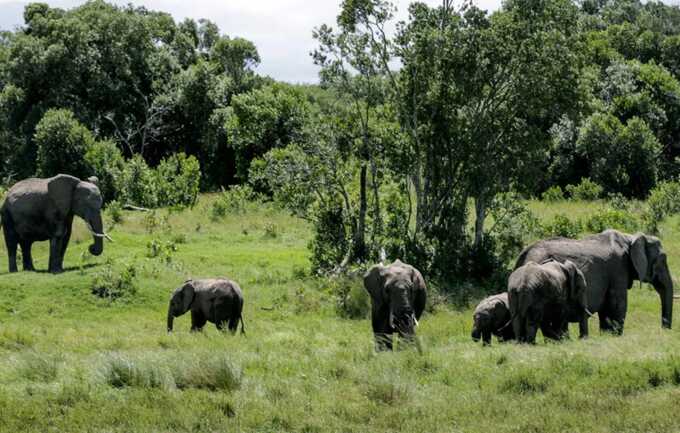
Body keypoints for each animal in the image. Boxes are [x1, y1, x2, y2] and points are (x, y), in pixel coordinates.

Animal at [515, 229, 674, 334]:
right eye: (662, 260)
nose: (664, 330)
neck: (630, 237)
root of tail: (523, 255)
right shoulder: (618, 269)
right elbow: (617, 306)